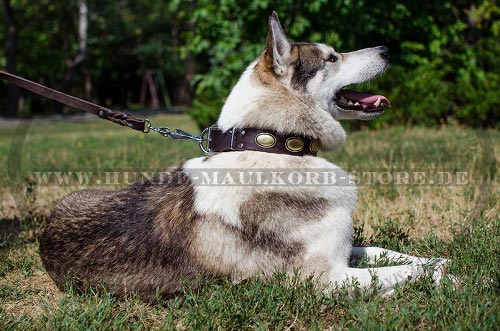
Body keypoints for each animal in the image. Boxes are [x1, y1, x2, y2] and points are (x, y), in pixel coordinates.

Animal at [40, 11, 450, 302]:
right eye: (332, 58)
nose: (387, 50)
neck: (274, 143)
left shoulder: (342, 252)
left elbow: (385, 252)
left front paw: (437, 260)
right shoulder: (324, 279)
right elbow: (401, 273)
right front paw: (446, 277)